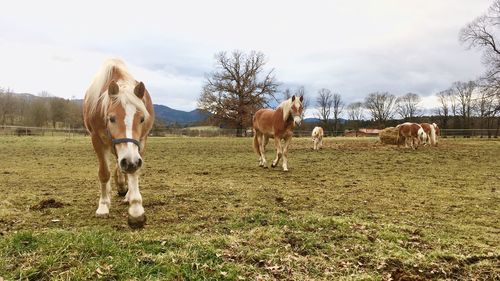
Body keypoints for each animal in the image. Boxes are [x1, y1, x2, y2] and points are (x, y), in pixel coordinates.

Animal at [82, 58, 154, 228]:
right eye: (112, 118)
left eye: (142, 119)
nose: (129, 161)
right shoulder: (97, 140)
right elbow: (104, 173)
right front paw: (103, 206)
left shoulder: (140, 143)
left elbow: (133, 172)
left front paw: (135, 209)